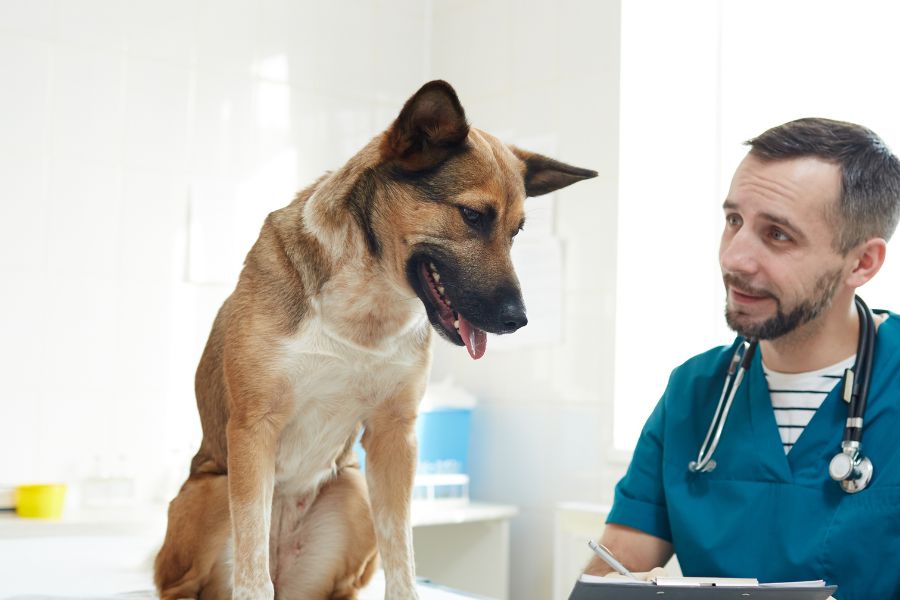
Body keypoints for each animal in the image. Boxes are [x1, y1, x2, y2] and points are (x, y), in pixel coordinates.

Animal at [155, 81, 596, 600]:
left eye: (517, 231)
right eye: (472, 215)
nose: (518, 320)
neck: (366, 303)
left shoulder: (394, 435)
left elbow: (401, 551)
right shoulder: (254, 426)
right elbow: (251, 565)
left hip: (353, 491)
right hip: (210, 492)